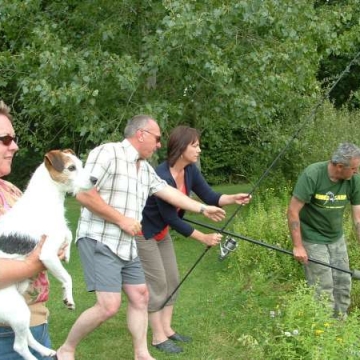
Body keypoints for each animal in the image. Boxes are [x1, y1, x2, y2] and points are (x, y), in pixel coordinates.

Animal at [0, 149, 94, 360]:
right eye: (71, 168)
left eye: (81, 164)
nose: (95, 179)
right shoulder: (47, 255)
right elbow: (67, 278)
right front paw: (68, 299)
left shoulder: (59, 234)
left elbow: (68, 233)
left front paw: (67, 253)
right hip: (16, 309)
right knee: (19, 346)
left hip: (20, 309)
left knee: (27, 336)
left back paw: (45, 350)